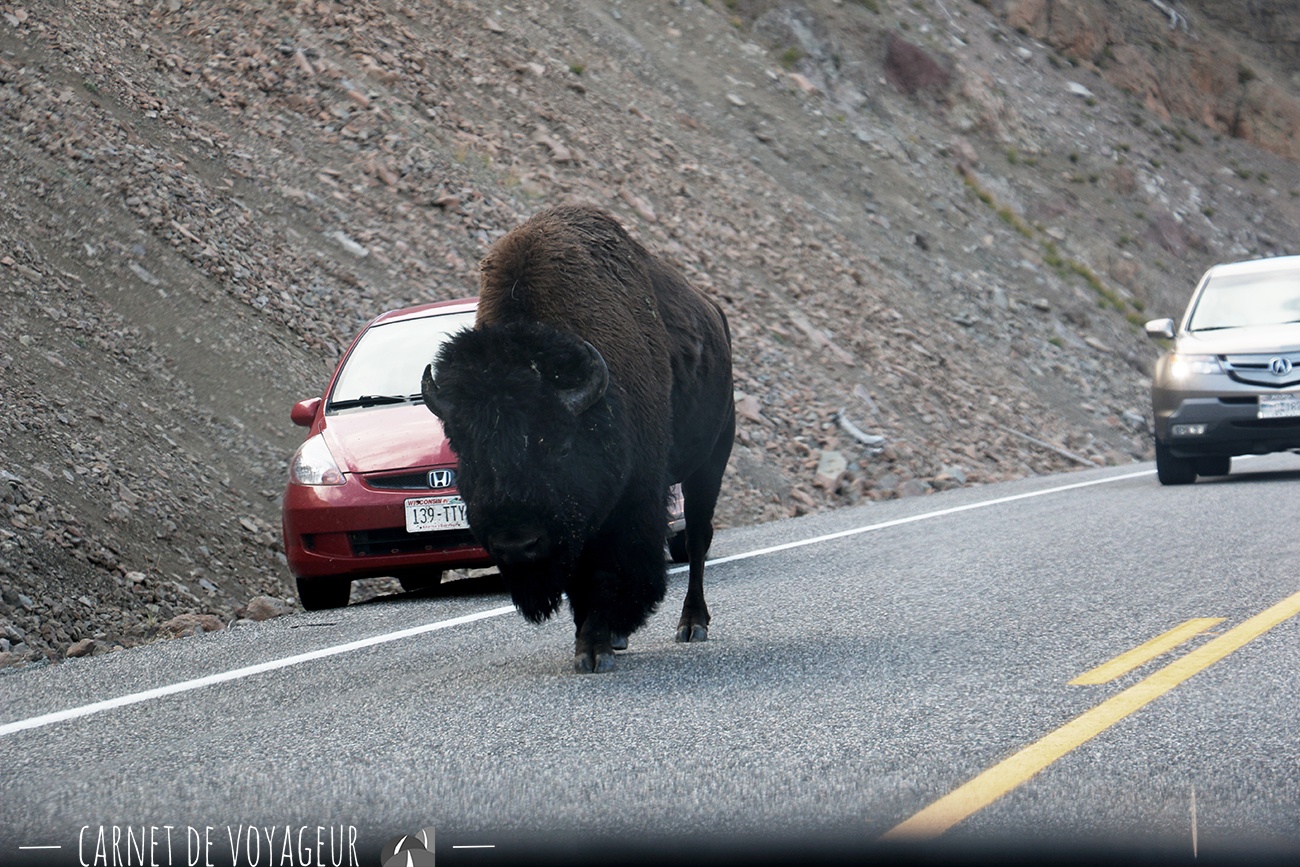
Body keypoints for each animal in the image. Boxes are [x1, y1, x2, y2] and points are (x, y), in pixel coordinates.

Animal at [421, 204, 734, 673]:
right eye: (465, 450)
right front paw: (594, 639)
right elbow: (577, 581)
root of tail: (714, 313)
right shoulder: (571, 525)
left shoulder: (629, 503)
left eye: (560, 446)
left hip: (711, 461)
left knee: (697, 539)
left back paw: (692, 624)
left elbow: (607, 570)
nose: (516, 544)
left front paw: (593, 649)